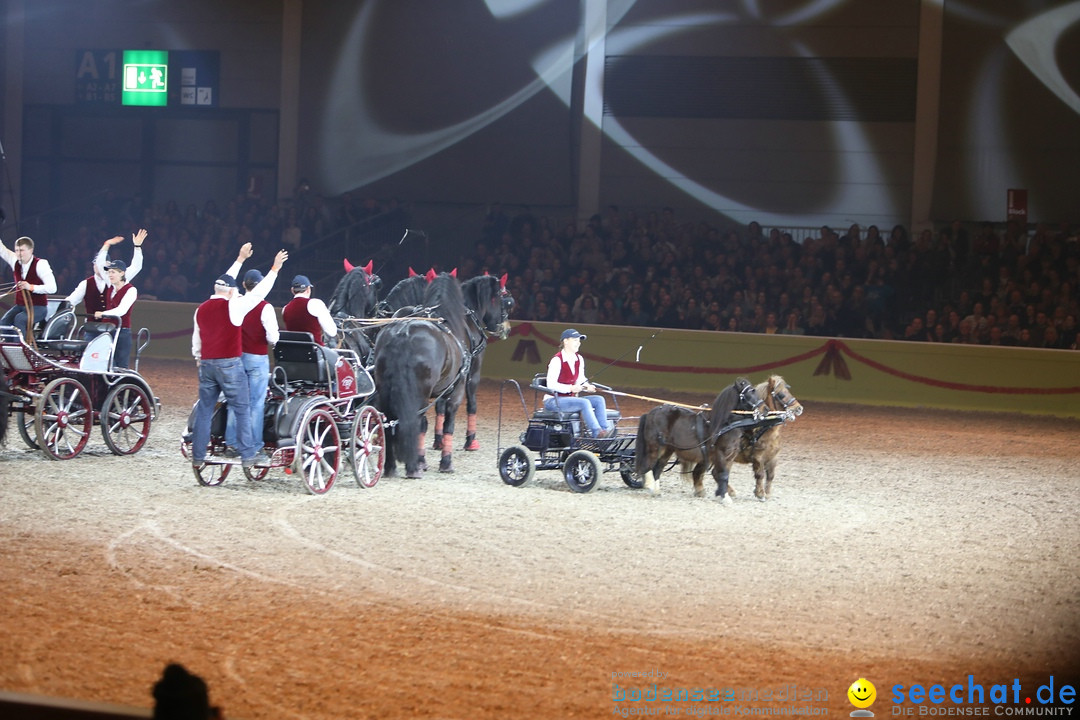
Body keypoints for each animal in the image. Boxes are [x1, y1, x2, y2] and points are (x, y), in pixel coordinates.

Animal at [373, 269, 470, 479]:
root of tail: (403, 332)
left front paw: (422, 460)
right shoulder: (455, 394)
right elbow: (447, 426)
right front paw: (445, 464)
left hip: (385, 390)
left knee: (389, 421)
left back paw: (391, 468)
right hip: (420, 394)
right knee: (413, 421)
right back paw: (412, 469)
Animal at [630, 379, 768, 505]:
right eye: (751, 392)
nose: (765, 409)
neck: (725, 425)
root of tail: (650, 413)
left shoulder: (730, 456)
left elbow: (724, 475)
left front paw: (721, 494)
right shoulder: (720, 454)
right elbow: (723, 475)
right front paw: (725, 497)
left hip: (668, 449)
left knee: (658, 467)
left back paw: (657, 491)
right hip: (654, 445)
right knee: (649, 464)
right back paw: (649, 485)